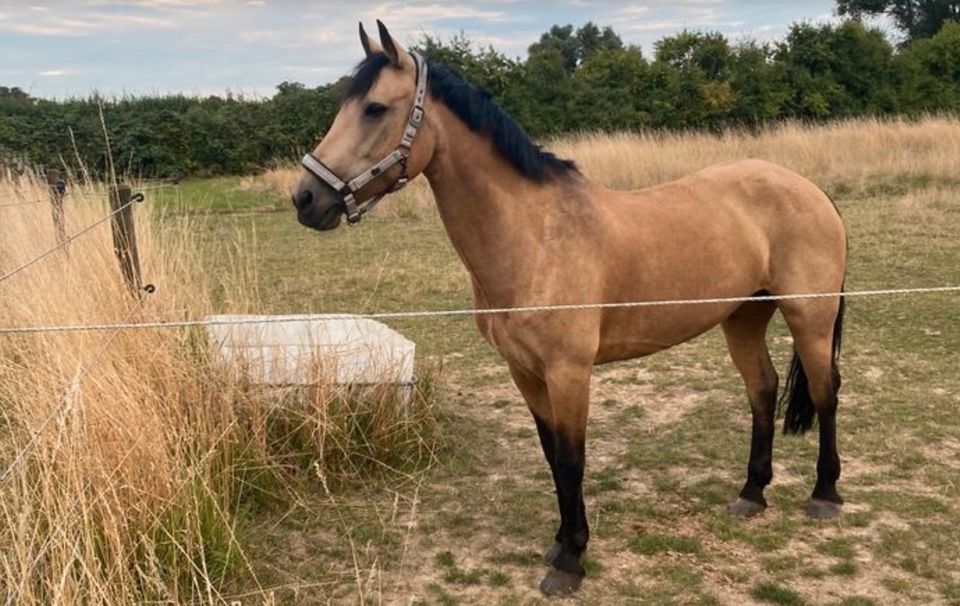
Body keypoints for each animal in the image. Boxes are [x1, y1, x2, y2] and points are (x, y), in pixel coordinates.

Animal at [292, 20, 848, 600]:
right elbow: (552, 458)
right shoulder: (526, 373)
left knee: (826, 392)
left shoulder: (569, 373)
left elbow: (572, 460)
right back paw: (751, 493)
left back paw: (825, 495)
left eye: (375, 108)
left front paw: (572, 562)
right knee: (763, 390)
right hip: (743, 318)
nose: (305, 198)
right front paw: (560, 544)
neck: (535, 237)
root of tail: (811, 190)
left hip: (809, 318)